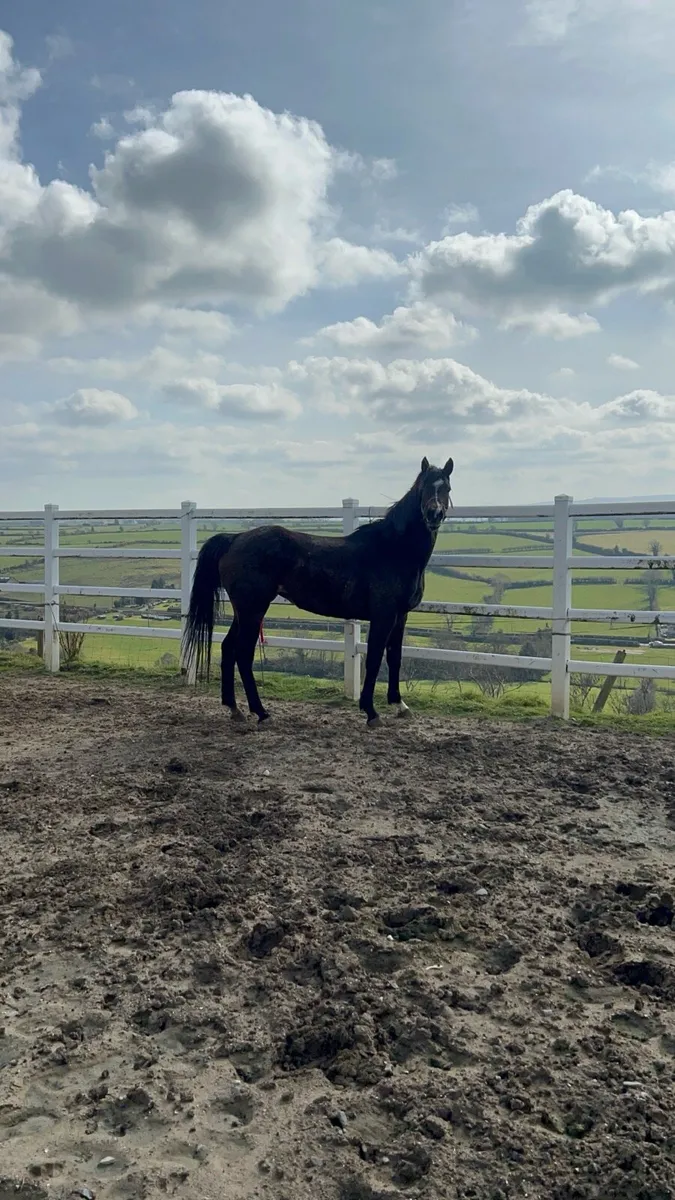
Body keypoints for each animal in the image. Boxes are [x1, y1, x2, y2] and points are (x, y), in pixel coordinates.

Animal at [181, 455, 454, 727]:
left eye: (447, 488)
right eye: (424, 487)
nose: (434, 514)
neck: (393, 550)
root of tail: (235, 538)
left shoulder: (401, 616)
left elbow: (394, 658)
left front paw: (400, 705)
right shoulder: (383, 616)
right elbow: (375, 659)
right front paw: (371, 712)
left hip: (244, 611)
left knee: (228, 649)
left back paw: (234, 708)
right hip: (253, 610)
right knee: (243, 654)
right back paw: (261, 712)